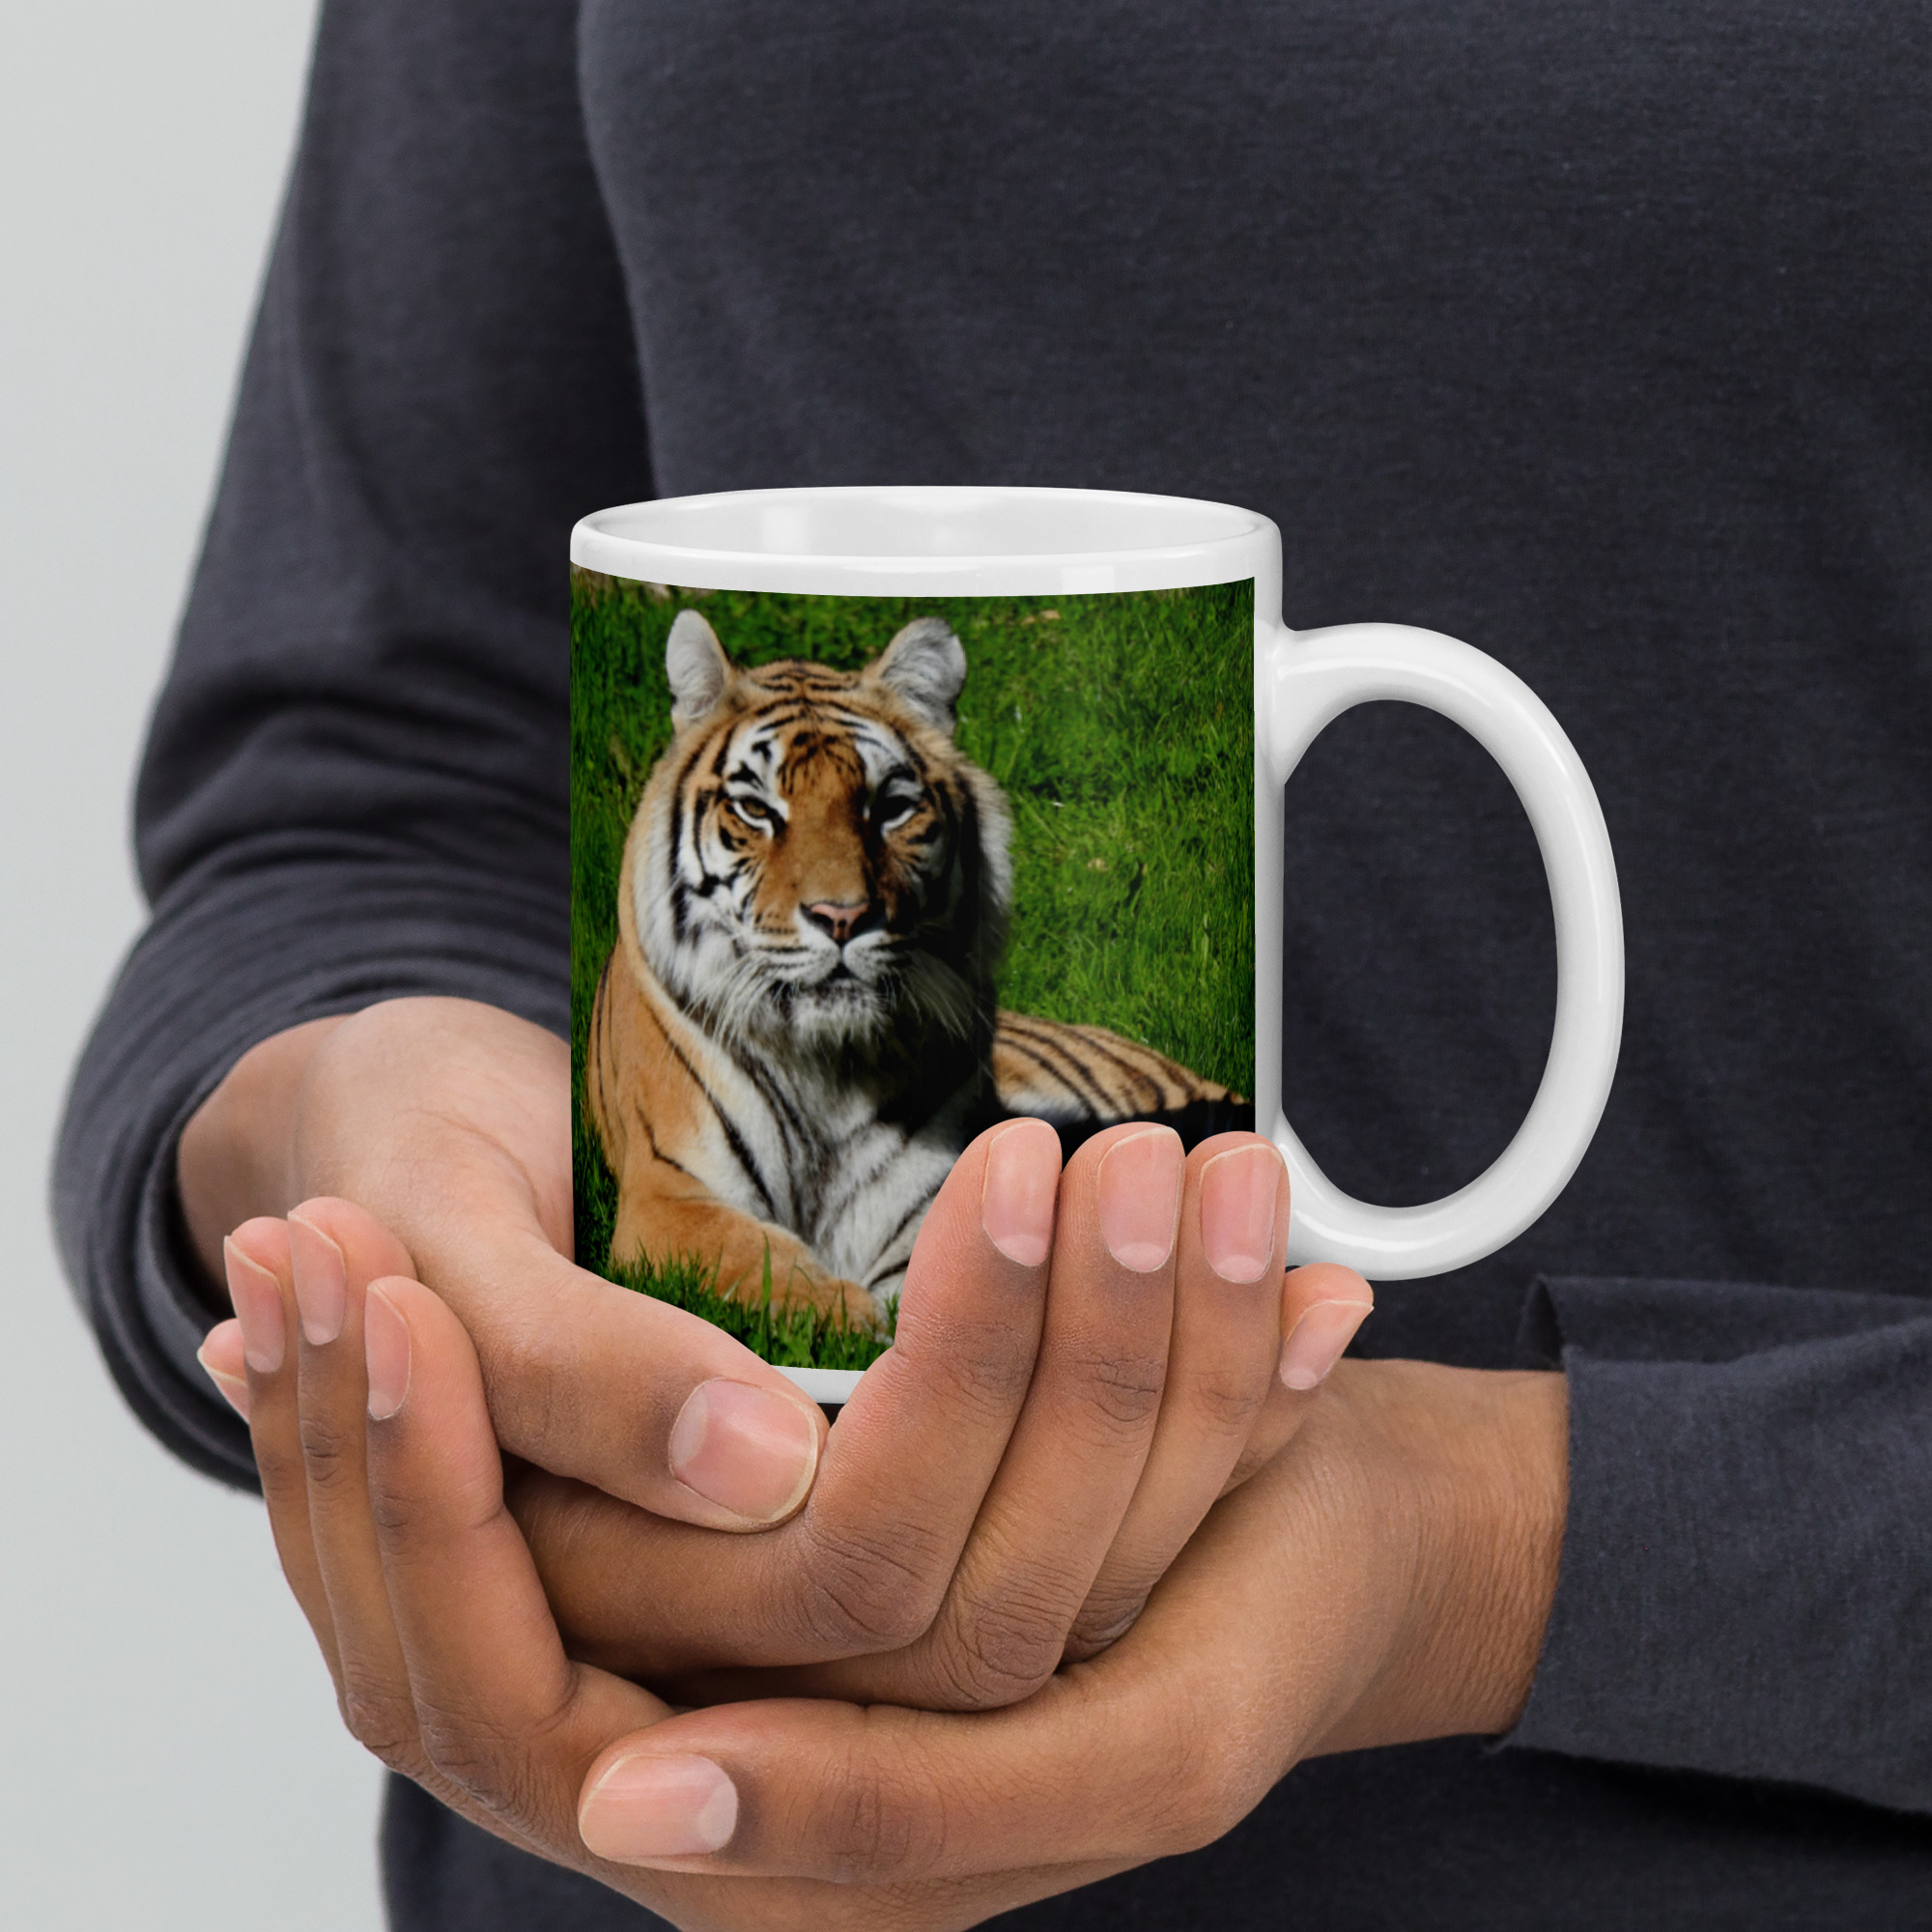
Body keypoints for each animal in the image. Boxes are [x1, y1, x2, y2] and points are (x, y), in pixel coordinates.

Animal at [588, 607, 1246, 1329]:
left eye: (891, 808)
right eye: (757, 810)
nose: (842, 916)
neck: (828, 1071)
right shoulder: (666, 1197)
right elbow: (762, 1266)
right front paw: (852, 1318)